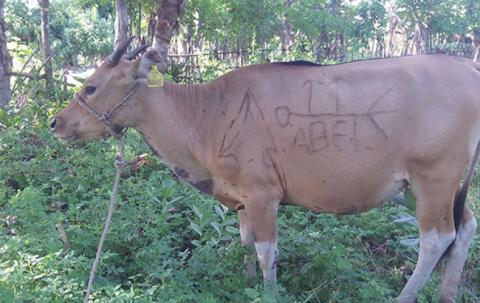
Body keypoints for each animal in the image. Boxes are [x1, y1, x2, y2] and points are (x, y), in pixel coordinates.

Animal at [50, 41, 478, 303]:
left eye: (90, 87)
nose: (56, 122)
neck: (206, 112)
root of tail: (469, 66)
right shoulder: (241, 200)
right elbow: (245, 245)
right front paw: (246, 285)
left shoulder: (263, 196)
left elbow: (265, 251)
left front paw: (269, 292)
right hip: (421, 186)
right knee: (466, 226)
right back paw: (446, 294)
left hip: (433, 178)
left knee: (437, 238)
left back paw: (406, 295)